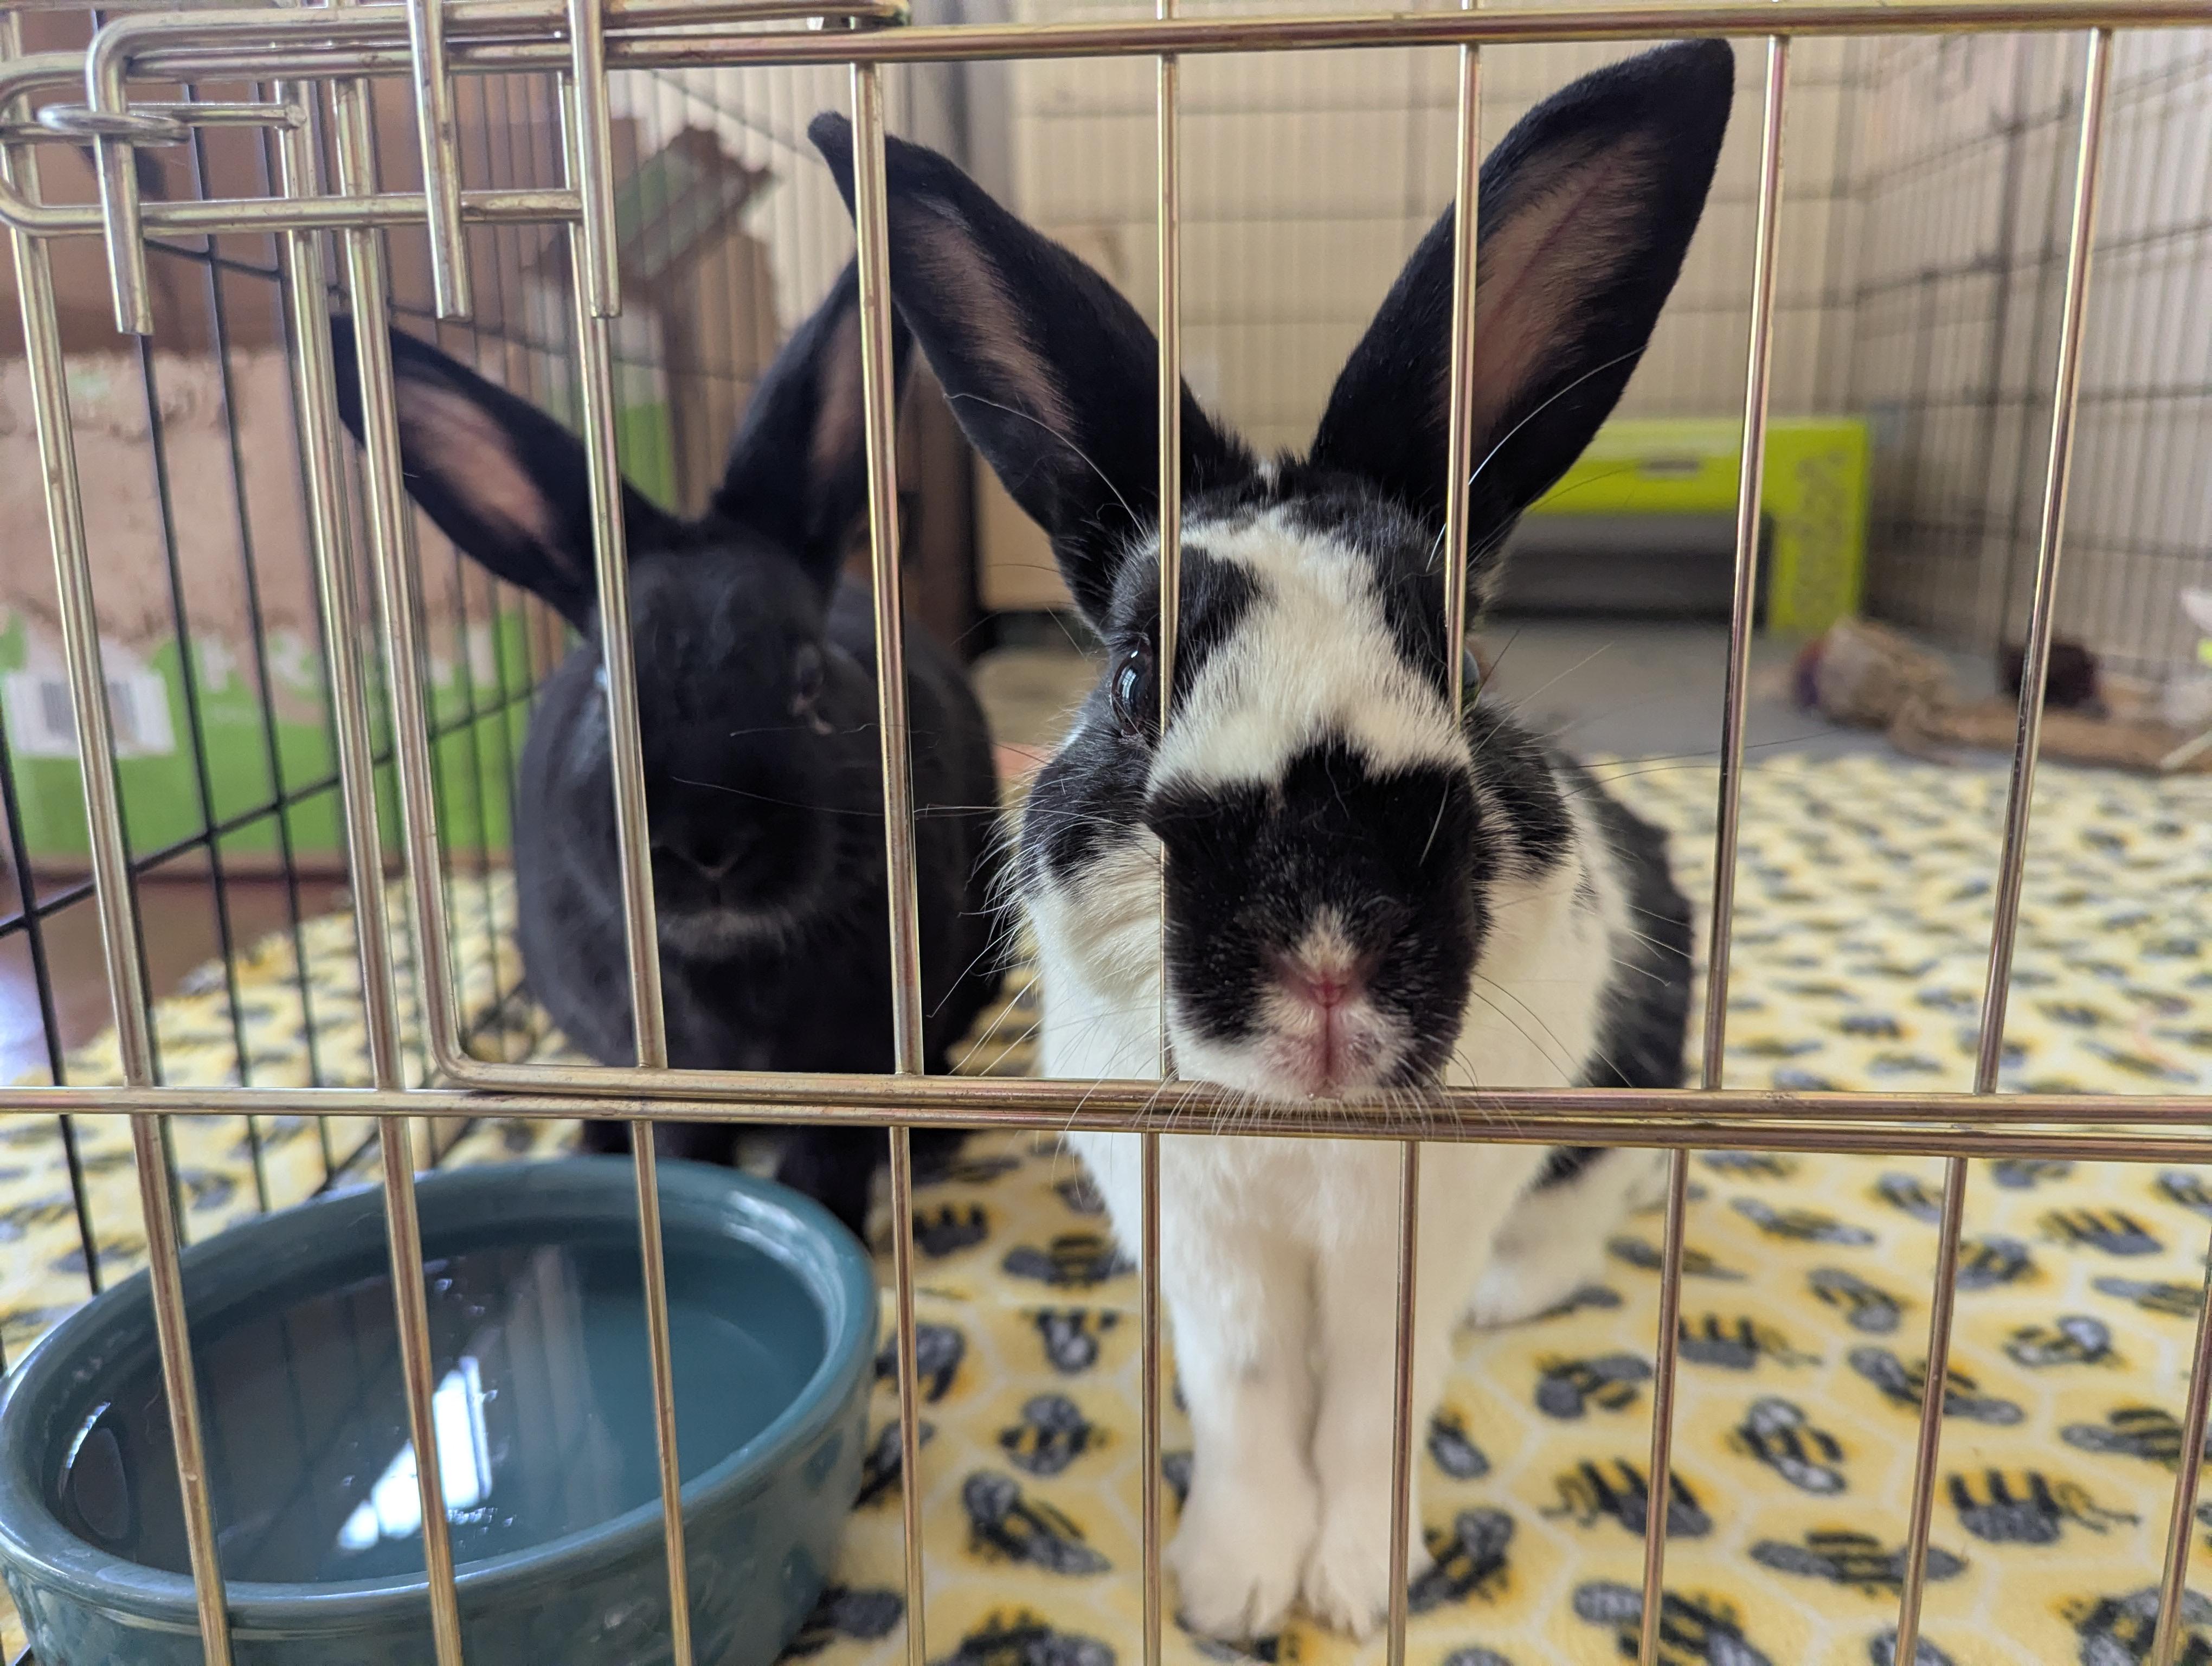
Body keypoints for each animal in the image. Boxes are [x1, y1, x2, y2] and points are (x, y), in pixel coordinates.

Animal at [328, 260, 1008, 1240]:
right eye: (606, 692)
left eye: (809, 679)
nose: (708, 843)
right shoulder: (669, 1073)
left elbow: (826, 1159)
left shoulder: (858, 1058)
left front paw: (831, 1230)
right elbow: (690, 1149)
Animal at [810, 35, 1726, 1641]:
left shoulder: (1418, 1232)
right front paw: (1234, 1586)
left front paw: (1357, 1586)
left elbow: (1372, 1401)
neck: (1308, 1126)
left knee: (1587, 1211)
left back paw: (1517, 1291)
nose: (1324, 958)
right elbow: (1245, 1396)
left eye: (1459, 665)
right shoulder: (1204, 1243)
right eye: (1131, 679)